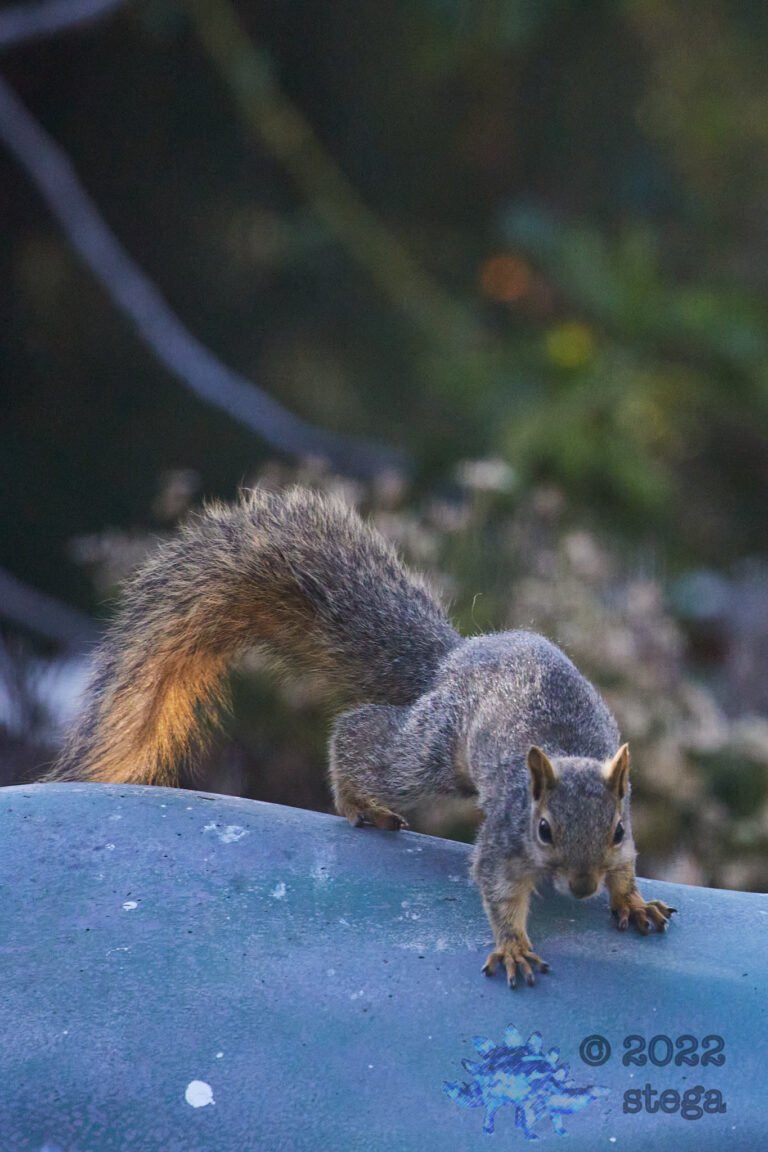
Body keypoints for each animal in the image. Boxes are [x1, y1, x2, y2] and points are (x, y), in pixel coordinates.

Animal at [52, 485, 675, 988]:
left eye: (617, 830)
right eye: (544, 830)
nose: (583, 886)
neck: (567, 759)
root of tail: (457, 656)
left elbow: (627, 869)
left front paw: (632, 901)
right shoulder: (503, 835)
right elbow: (496, 887)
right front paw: (514, 946)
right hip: (432, 750)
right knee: (363, 738)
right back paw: (359, 801)